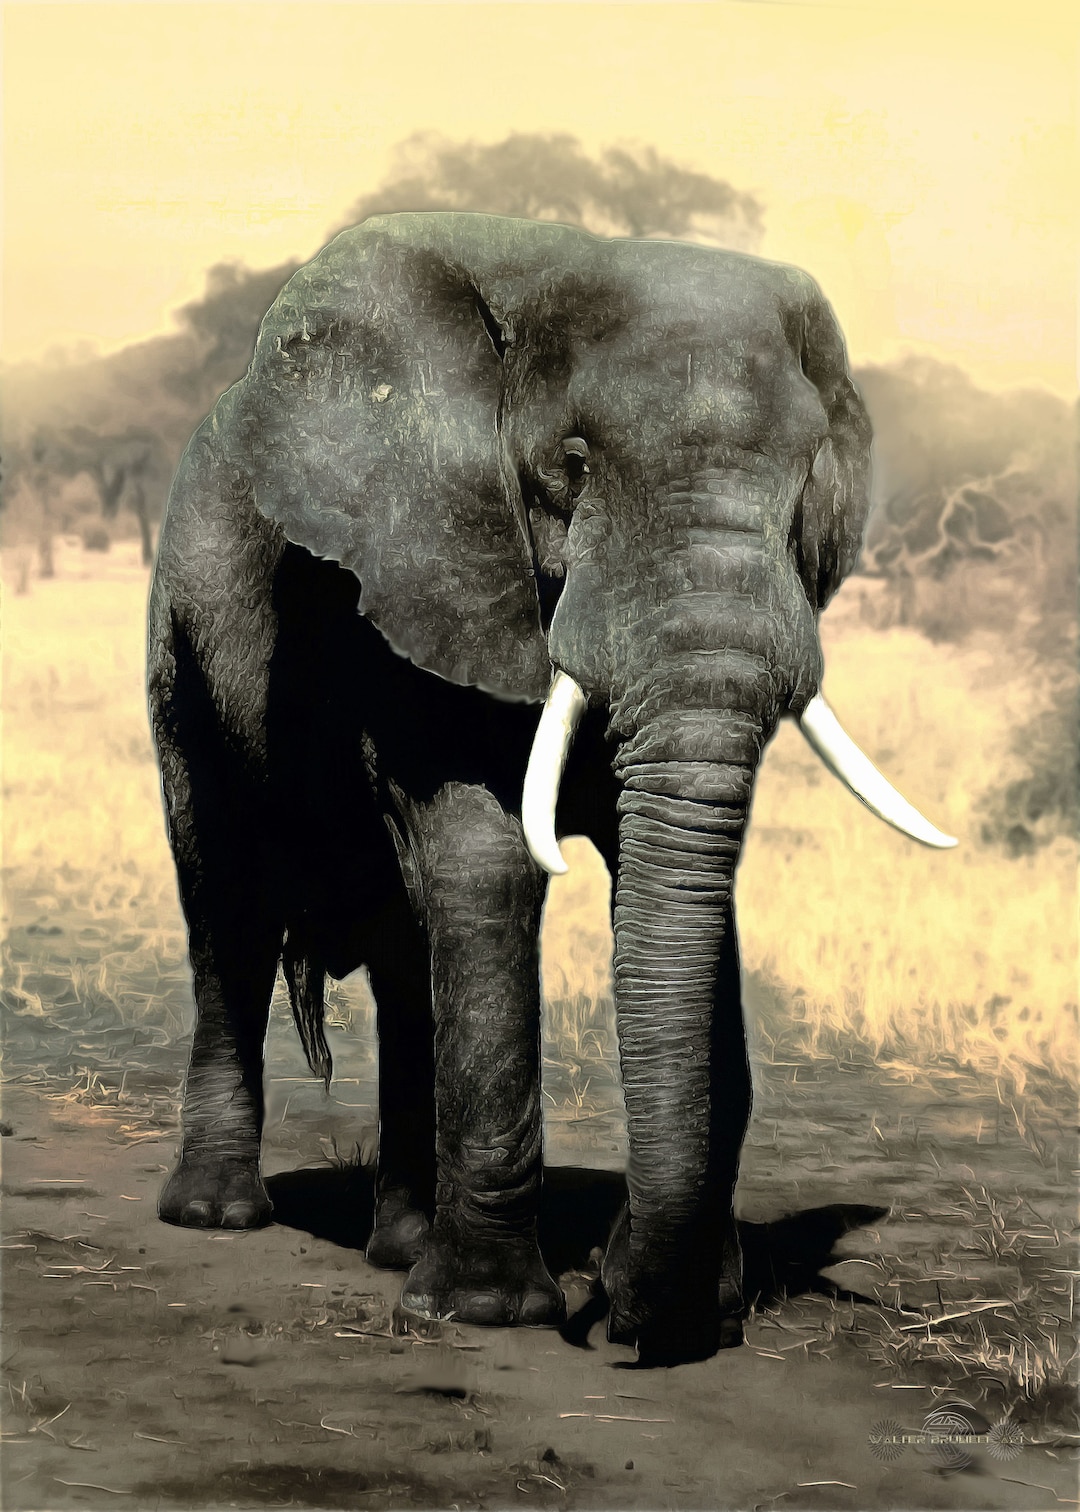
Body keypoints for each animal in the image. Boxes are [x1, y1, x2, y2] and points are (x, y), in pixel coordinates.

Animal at [148, 212, 955, 1365]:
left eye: (808, 483)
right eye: (569, 466)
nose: (617, 1323)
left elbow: (675, 886)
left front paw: (693, 1305)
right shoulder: (435, 566)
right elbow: (489, 862)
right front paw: (490, 1314)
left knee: (404, 948)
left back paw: (399, 1248)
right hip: (185, 622)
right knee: (227, 900)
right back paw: (218, 1217)